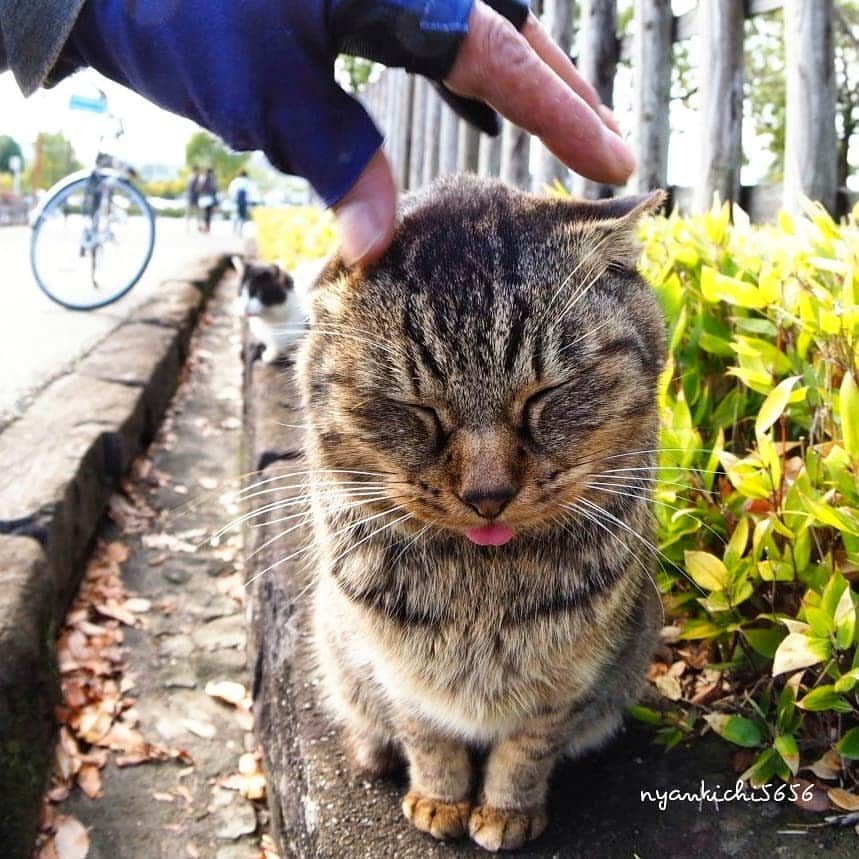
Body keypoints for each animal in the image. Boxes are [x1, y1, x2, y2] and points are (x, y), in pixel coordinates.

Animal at [298, 176, 668, 852]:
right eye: (418, 410)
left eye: (546, 396)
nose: (488, 494)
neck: (481, 594)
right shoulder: (395, 671)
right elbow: (427, 736)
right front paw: (439, 799)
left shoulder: (569, 681)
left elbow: (527, 750)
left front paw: (505, 812)